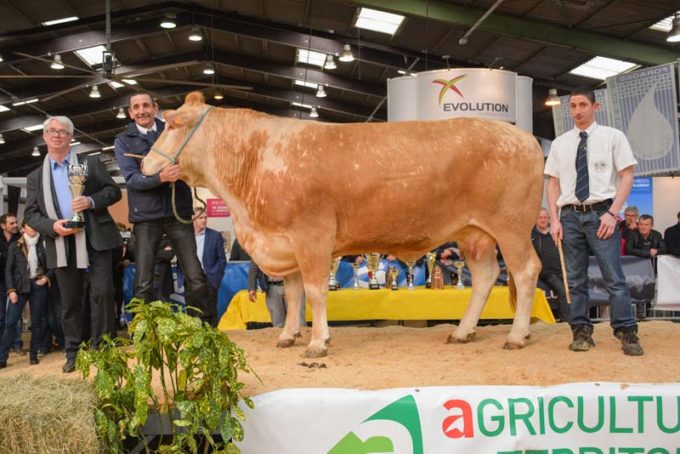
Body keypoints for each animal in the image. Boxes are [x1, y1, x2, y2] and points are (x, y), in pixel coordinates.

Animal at [141, 90, 544, 356]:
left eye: (172, 124)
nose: (145, 164)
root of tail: (524, 136)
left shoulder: (311, 234)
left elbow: (316, 291)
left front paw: (318, 342)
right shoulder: (285, 241)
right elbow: (293, 294)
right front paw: (288, 336)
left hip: (511, 227)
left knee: (525, 271)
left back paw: (517, 335)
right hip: (474, 233)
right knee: (486, 277)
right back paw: (463, 332)